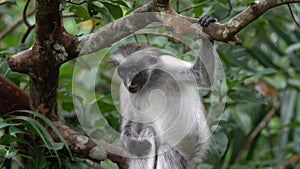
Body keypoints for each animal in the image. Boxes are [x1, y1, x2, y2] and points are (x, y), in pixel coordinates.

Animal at [109, 16, 217, 169]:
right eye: (123, 72)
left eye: (135, 70)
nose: (129, 82)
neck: (150, 82)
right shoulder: (125, 90)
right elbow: (130, 122)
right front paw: (131, 144)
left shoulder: (167, 64)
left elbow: (202, 77)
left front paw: (206, 28)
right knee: (147, 133)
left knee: (167, 149)